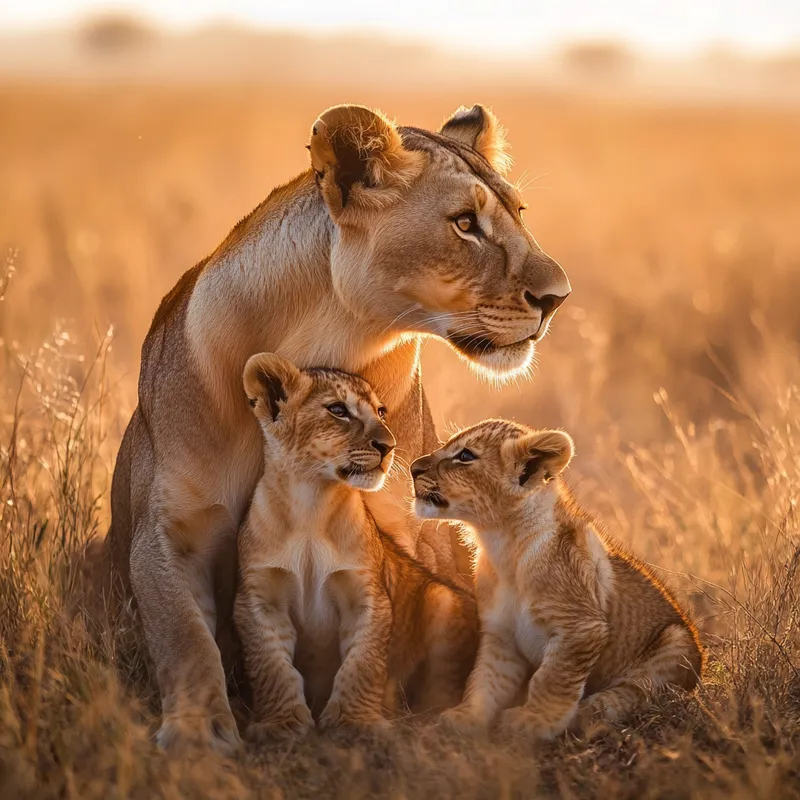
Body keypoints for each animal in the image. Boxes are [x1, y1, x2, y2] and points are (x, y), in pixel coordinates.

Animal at [234, 353, 478, 741]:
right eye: (338, 409)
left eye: (381, 412)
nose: (389, 446)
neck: (310, 505)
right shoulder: (258, 598)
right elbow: (270, 665)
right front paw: (280, 724)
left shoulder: (367, 594)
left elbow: (363, 661)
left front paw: (355, 722)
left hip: (443, 600)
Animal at [411, 420, 704, 739]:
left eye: (465, 456)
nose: (413, 467)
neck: (504, 544)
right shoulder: (501, 632)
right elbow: (487, 678)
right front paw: (468, 715)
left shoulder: (581, 628)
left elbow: (552, 678)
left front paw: (536, 720)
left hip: (676, 642)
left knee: (641, 690)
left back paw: (592, 710)